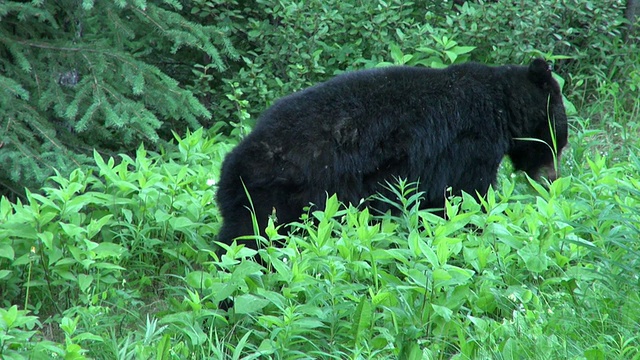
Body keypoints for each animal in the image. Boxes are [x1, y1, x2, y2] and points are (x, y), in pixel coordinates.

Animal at [216, 59, 568, 250]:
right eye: (559, 142)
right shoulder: (469, 146)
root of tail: (234, 166)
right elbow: (466, 198)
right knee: (255, 240)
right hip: (285, 197)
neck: (501, 107)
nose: (553, 180)